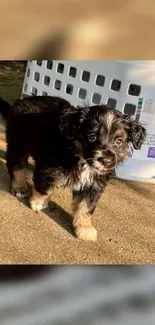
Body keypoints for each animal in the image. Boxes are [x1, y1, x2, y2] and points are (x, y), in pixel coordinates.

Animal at [0, 95, 146, 240]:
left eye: (119, 141)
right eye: (92, 137)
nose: (106, 161)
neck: (81, 159)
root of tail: (23, 100)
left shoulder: (94, 185)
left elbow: (86, 207)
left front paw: (84, 228)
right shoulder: (49, 168)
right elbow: (45, 189)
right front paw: (38, 202)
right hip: (18, 142)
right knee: (16, 164)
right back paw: (20, 187)